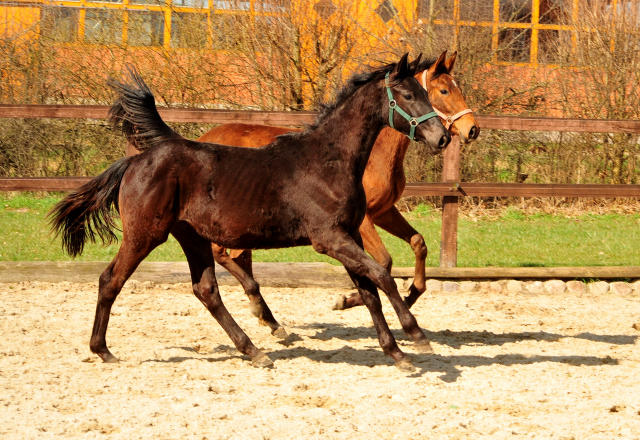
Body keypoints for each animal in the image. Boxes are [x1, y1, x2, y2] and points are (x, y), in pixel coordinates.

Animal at [48, 54, 450, 372]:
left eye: (427, 93)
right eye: (409, 95)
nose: (442, 137)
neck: (328, 161)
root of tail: (134, 162)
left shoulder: (349, 236)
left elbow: (369, 291)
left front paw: (396, 353)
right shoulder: (330, 239)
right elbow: (382, 277)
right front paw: (416, 335)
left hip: (191, 236)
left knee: (206, 290)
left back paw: (254, 350)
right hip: (145, 234)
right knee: (110, 280)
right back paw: (103, 350)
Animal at [198, 49, 478, 314]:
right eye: (442, 91)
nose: (471, 129)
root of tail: (204, 137)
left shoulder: (384, 212)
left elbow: (418, 243)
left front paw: (411, 294)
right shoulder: (362, 221)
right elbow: (383, 262)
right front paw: (348, 300)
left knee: (237, 256)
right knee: (223, 254)